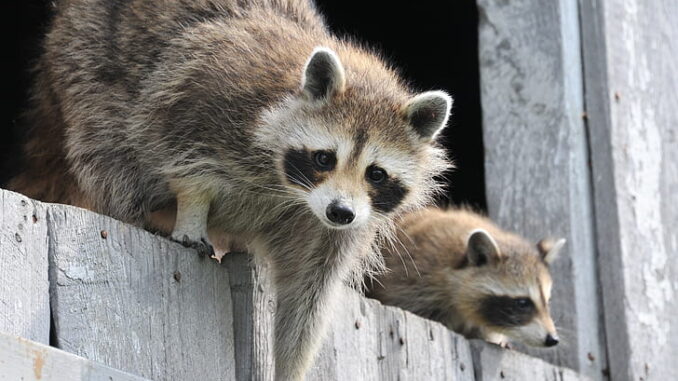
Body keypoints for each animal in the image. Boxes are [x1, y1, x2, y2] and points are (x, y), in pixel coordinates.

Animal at [9, 1, 452, 378]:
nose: (340, 212)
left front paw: (290, 366)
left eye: (376, 174)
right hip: (85, 58)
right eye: (325, 158)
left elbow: (307, 298)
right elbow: (180, 153)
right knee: (106, 146)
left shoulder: (333, 229)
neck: (290, 189)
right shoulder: (209, 95)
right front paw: (191, 211)